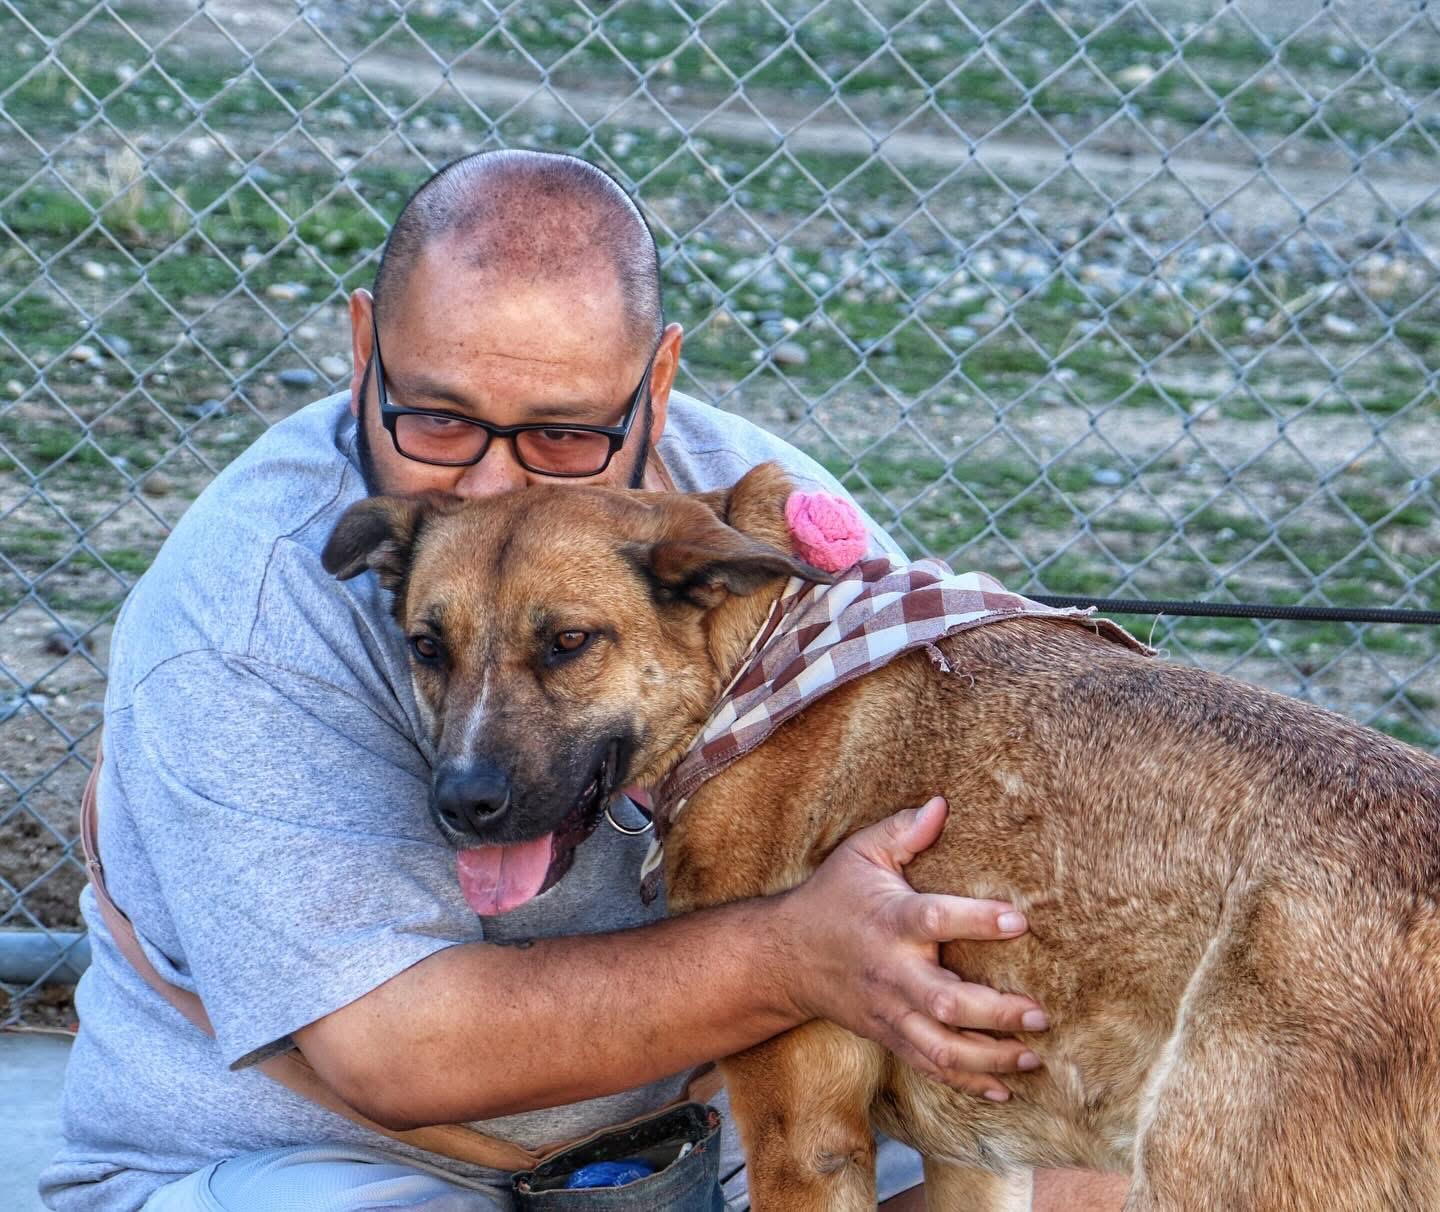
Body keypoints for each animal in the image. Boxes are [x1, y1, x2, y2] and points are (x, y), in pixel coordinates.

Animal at [324, 463, 1440, 1211]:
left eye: (567, 643)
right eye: (426, 647)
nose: (460, 804)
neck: (757, 658)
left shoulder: (804, 1140)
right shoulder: (976, 1157)